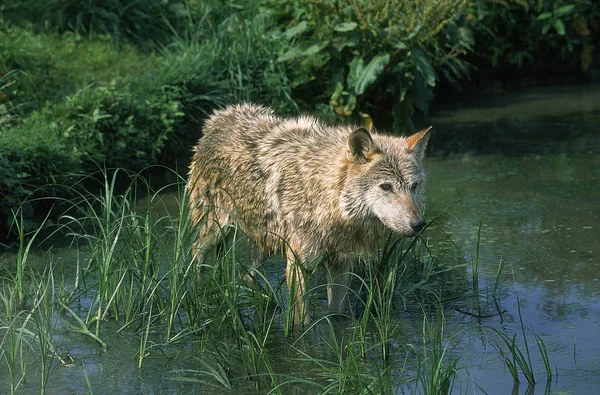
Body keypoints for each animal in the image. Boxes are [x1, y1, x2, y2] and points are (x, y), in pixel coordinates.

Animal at [188, 103, 432, 326]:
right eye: (386, 187)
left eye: (413, 186)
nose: (419, 224)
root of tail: (218, 117)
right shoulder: (298, 267)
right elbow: (301, 323)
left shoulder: (340, 264)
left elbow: (337, 316)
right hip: (217, 228)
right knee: (195, 251)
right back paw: (198, 293)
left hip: (265, 243)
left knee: (245, 275)